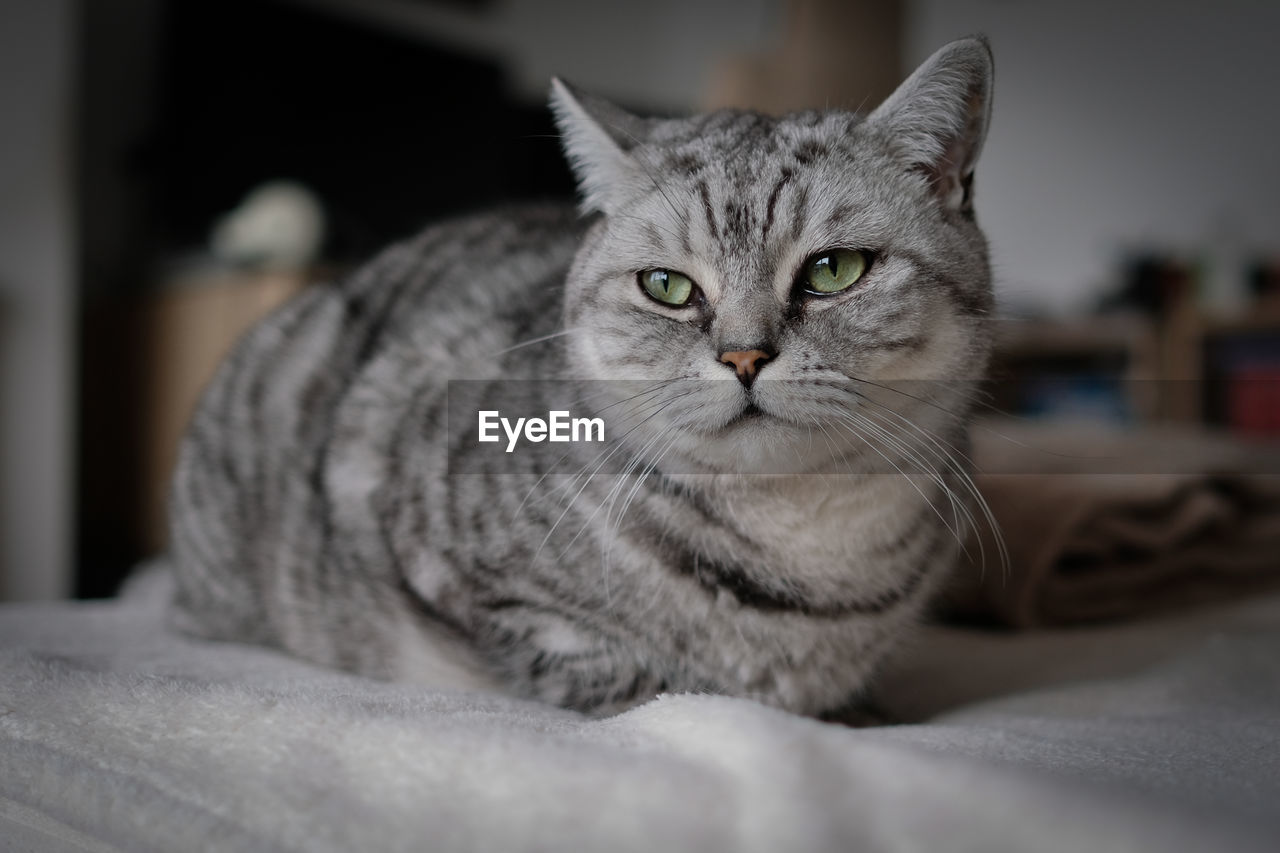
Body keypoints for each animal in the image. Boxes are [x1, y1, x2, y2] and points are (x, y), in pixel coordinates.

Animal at [167, 36, 998, 712]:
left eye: (834, 270)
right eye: (667, 286)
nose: (743, 355)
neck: (804, 549)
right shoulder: (457, 571)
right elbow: (633, 675)